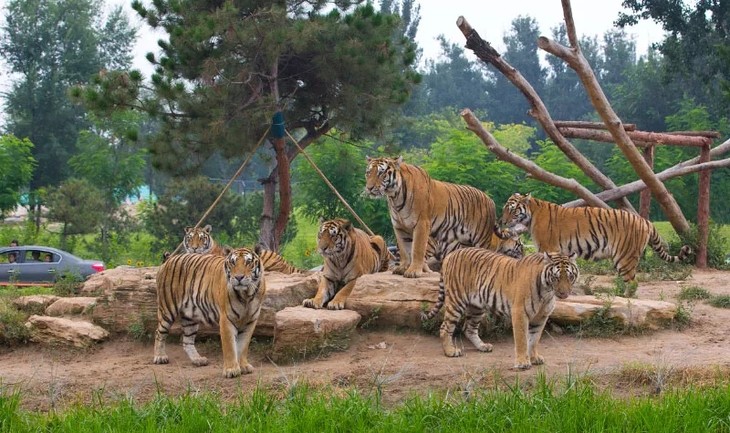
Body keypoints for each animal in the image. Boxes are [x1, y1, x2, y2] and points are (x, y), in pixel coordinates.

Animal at [152, 248, 266, 376]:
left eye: (248, 262)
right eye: (233, 262)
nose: (239, 277)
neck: (246, 294)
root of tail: (169, 259)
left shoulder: (250, 321)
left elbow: (243, 346)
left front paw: (244, 366)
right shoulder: (226, 319)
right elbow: (229, 346)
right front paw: (231, 370)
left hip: (190, 316)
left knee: (187, 341)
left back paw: (198, 359)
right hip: (167, 308)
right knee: (159, 332)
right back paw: (160, 357)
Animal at [362, 157, 494, 278]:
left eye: (381, 173)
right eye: (368, 173)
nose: (369, 188)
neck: (395, 196)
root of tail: (489, 199)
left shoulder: (422, 223)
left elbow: (417, 248)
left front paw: (413, 271)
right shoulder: (399, 226)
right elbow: (404, 249)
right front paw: (403, 268)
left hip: (481, 238)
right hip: (464, 241)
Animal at [424, 248, 576, 370]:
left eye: (570, 276)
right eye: (556, 277)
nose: (564, 293)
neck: (547, 292)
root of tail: (451, 254)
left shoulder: (541, 316)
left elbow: (534, 339)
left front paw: (534, 358)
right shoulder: (519, 312)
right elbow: (522, 339)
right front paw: (522, 362)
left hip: (477, 307)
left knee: (469, 328)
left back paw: (483, 346)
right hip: (456, 301)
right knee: (445, 327)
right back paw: (450, 351)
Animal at [494, 192, 688, 294]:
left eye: (512, 209)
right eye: (504, 209)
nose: (502, 221)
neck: (531, 214)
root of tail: (645, 221)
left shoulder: (547, 247)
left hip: (625, 257)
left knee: (632, 283)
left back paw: (624, 299)